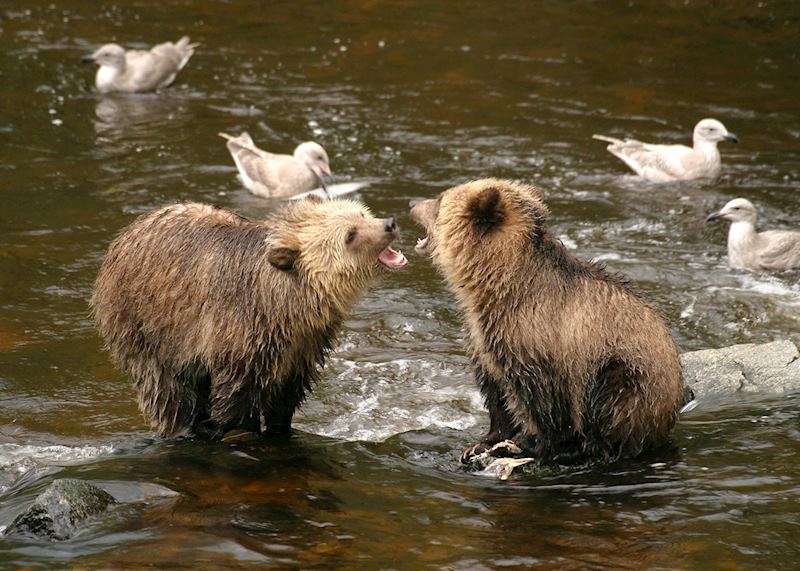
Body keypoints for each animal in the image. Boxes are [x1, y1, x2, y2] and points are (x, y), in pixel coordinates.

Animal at [91, 198, 407, 438]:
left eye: (361, 213)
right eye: (350, 235)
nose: (389, 224)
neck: (288, 305)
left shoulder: (305, 343)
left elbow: (287, 393)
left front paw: (280, 425)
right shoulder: (240, 332)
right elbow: (237, 395)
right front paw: (237, 428)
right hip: (144, 323)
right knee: (166, 388)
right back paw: (184, 426)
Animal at [409, 178, 683, 465]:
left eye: (440, 199)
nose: (412, 204)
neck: (497, 282)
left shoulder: (539, 337)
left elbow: (546, 400)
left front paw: (526, 444)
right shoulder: (484, 339)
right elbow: (497, 395)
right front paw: (480, 444)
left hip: (631, 376)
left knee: (611, 404)